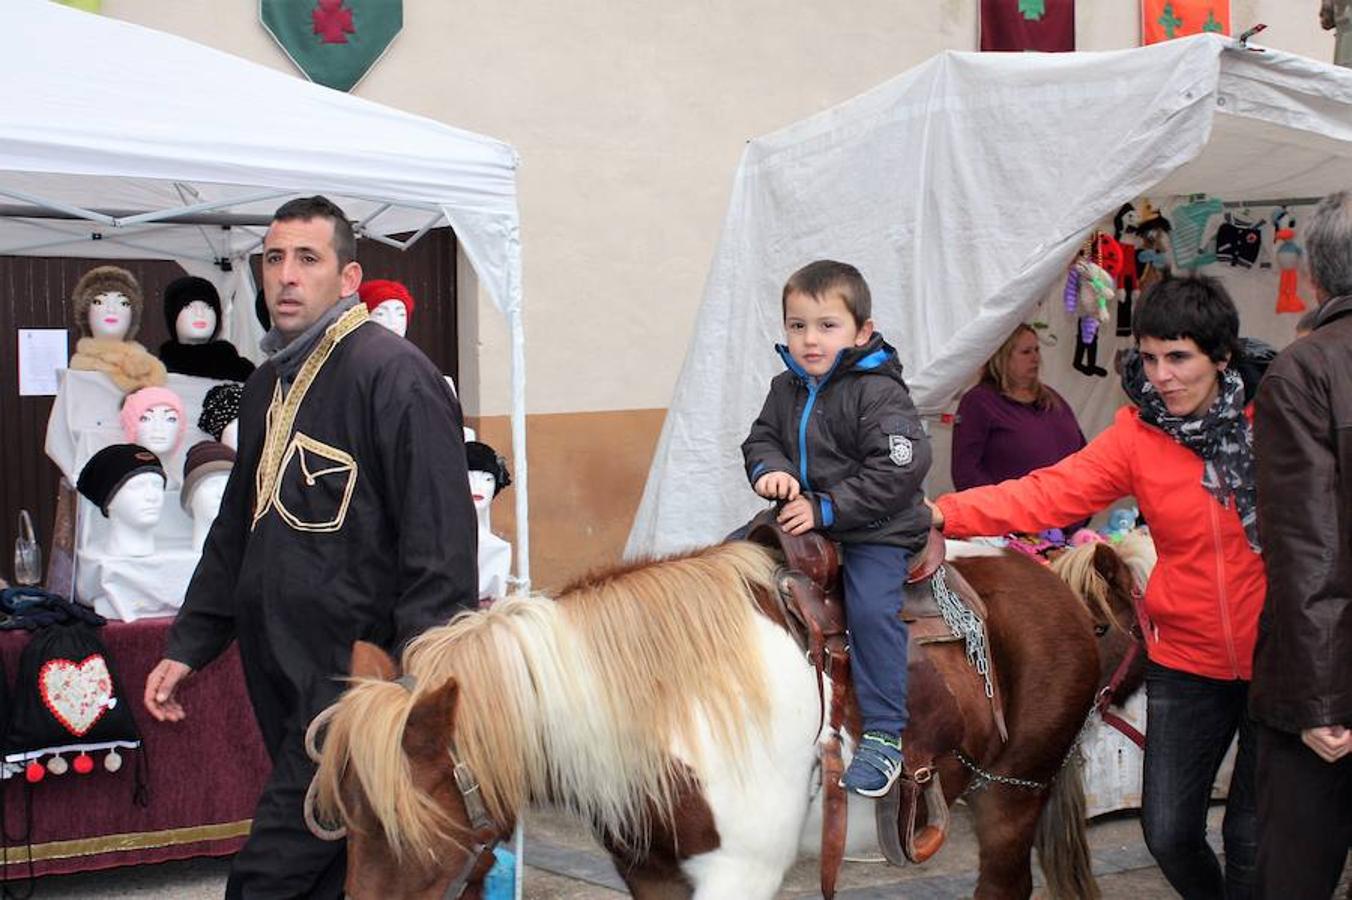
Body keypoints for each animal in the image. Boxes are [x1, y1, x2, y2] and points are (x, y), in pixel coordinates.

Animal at [310, 535, 1135, 891]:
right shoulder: (650, 874)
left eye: (408, 831)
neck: (666, 712)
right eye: (351, 827)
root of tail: (1053, 580)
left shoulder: (738, 874)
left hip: (1011, 801)